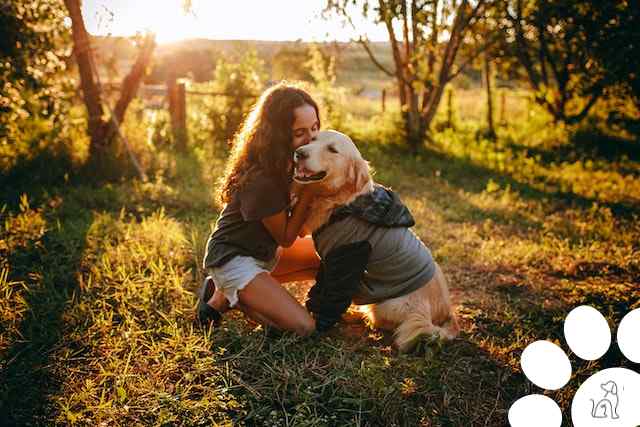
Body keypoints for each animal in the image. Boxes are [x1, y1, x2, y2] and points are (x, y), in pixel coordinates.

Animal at [292, 130, 458, 352]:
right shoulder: (328, 263)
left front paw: (319, 325)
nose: (299, 153)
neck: (342, 204)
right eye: (312, 140)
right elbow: (320, 288)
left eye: (333, 150)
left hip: (386, 305)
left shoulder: (347, 257)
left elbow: (332, 298)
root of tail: (446, 312)